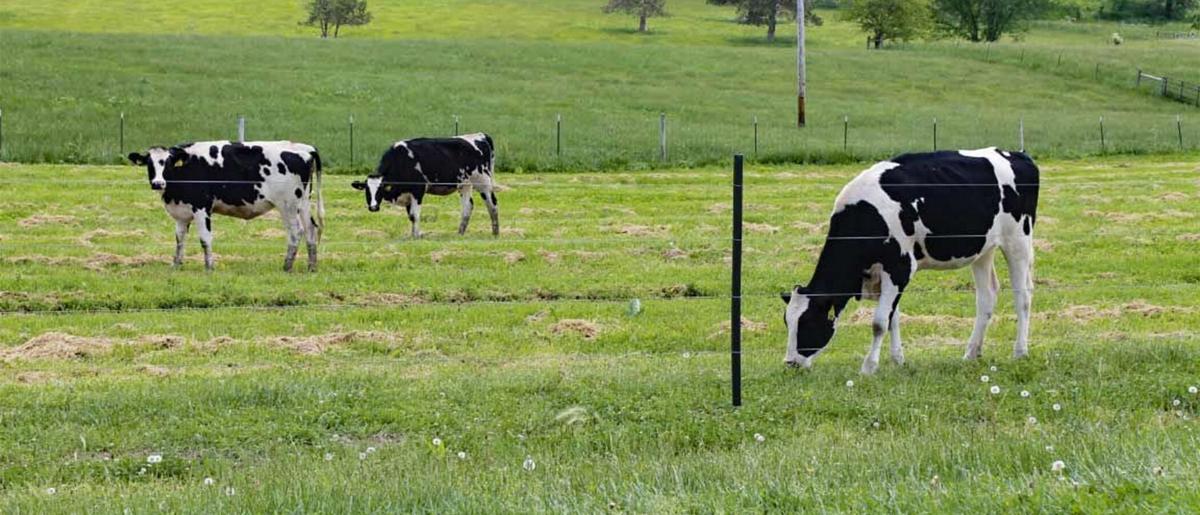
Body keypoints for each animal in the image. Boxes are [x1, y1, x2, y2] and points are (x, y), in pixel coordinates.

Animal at [127, 141, 324, 272]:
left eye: (167, 163)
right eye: (149, 164)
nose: (158, 183)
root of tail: (305, 148)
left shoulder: (202, 208)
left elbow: (205, 239)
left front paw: (209, 267)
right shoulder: (182, 214)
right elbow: (179, 239)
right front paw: (176, 265)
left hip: (287, 205)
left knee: (296, 232)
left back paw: (287, 266)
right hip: (304, 202)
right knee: (310, 229)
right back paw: (311, 266)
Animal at [352, 133, 498, 238]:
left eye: (380, 190)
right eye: (367, 191)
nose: (373, 207)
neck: (402, 160)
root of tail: (481, 135)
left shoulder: (418, 190)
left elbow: (415, 215)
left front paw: (416, 236)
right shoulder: (408, 195)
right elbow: (411, 216)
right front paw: (412, 234)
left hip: (483, 182)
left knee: (492, 204)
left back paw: (495, 232)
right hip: (464, 185)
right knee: (468, 207)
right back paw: (460, 233)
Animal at [782, 148, 1040, 374]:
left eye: (807, 323)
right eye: (787, 322)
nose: (790, 363)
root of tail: (1017, 154)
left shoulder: (900, 267)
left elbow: (879, 322)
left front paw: (868, 367)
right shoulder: (885, 275)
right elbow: (892, 318)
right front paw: (898, 360)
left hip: (1018, 239)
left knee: (1023, 296)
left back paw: (1019, 352)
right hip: (983, 248)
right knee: (987, 295)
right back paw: (971, 353)